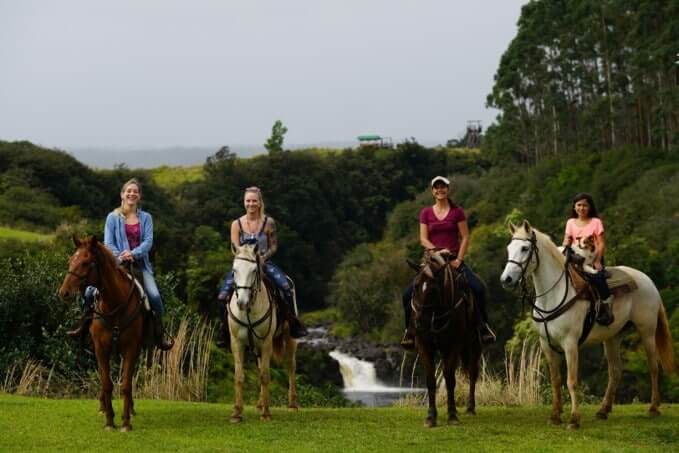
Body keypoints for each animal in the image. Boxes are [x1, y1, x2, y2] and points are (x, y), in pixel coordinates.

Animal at [58, 237, 146, 430]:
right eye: (70, 260)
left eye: (85, 263)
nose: (64, 292)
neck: (115, 304)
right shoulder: (100, 348)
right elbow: (106, 383)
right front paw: (109, 421)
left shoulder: (131, 348)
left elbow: (126, 384)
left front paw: (126, 422)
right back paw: (102, 407)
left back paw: (131, 409)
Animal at [228, 242, 298, 422]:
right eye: (234, 270)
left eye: (254, 271)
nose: (242, 302)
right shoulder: (236, 342)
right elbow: (239, 376)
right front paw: (237, 413)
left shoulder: (267, 342)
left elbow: (265, 375)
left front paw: (266, 413)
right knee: (260, 366)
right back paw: (260, 403)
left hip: (289, 338)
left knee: (291, 365)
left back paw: (292, 405)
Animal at [410, 249, 484, 426]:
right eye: (416, 286)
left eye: (433, 290)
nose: (419, 322)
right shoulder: (424, 345)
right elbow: (431, 379)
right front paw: (431, 416)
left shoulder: (453, 345)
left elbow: (450, 378)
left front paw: (452, 415)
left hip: (474, 345)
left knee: (473, 373)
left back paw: (470, 408)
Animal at [500, 221, 676, 430]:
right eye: (509, 248)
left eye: (525, 248)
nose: (506, 280)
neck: (554, 296)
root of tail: (648, 281)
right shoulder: (546, 345)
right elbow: (555, 380)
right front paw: (555, 416)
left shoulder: (570, 344)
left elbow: (571, 381)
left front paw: (574, 420)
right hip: (612, 337)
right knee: (615, 371)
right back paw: (603, 410)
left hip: (647, 331)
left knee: (653, 366)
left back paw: (653, 408)